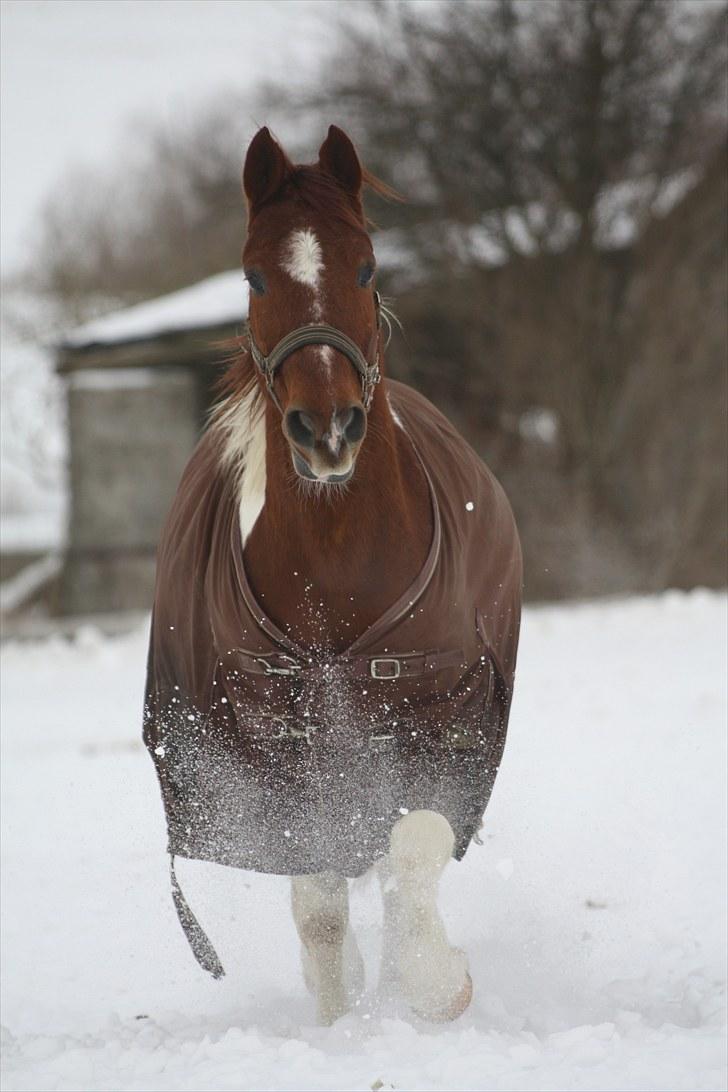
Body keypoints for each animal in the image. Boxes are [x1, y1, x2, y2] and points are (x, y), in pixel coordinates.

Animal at [141, 125, 521, 1022]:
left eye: (367, 266)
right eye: (253, 274)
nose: (329, 431)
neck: (340, 557)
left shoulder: (440, 716)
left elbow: (412, 851)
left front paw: (435, 985)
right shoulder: (272, 744)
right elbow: (316, 900)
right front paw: (339, 1020)